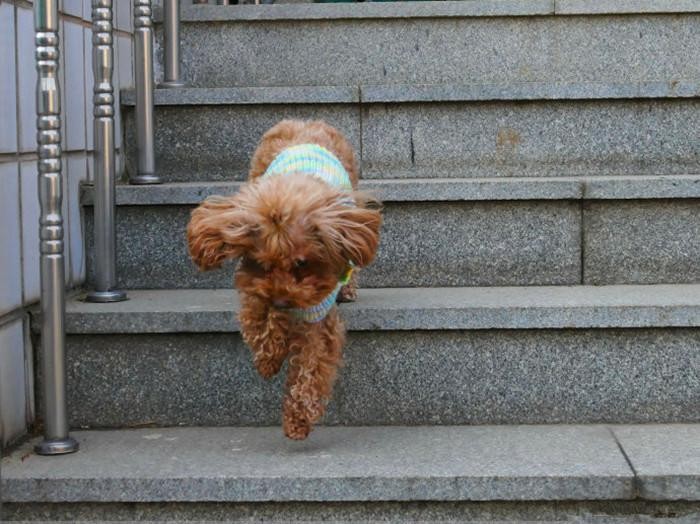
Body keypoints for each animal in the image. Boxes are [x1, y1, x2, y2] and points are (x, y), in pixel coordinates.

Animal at [186, 121, 382, 440]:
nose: (281, 300)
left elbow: (312, 361)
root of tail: (305, 121)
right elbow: (257, 320)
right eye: (264, 263)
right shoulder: (255, 288)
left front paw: (298, 418)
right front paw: (269, 359)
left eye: (301, 263)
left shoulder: (317, 309)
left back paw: (347, 289)